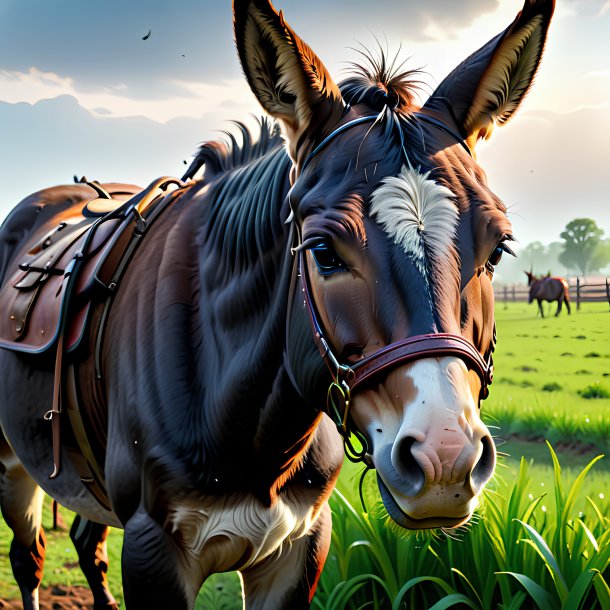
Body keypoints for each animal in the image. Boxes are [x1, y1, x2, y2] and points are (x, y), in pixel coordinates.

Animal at [0, 1, 552, 608]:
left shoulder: (298, 545)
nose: (445, 460)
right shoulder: (153, 549)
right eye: (323, 252)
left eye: (496, 250)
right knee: (28, 559)